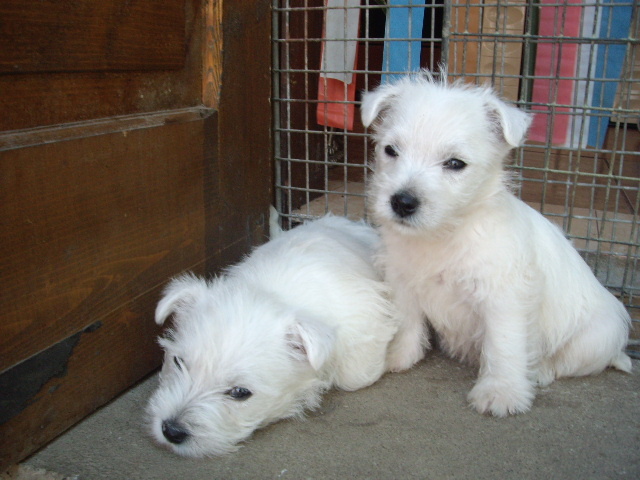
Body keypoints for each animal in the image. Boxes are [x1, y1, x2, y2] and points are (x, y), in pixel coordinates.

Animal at [362, 70, 632, 416]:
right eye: (391, 150)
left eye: (455, 163)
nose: (402, 202)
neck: (445, 233)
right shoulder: (402, 280)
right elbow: (408, 322)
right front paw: (397, 357)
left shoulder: (503, 297)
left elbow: (503, 345)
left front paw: (500, 392)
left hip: (597, 336)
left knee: (568, 362)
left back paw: (540, 370)